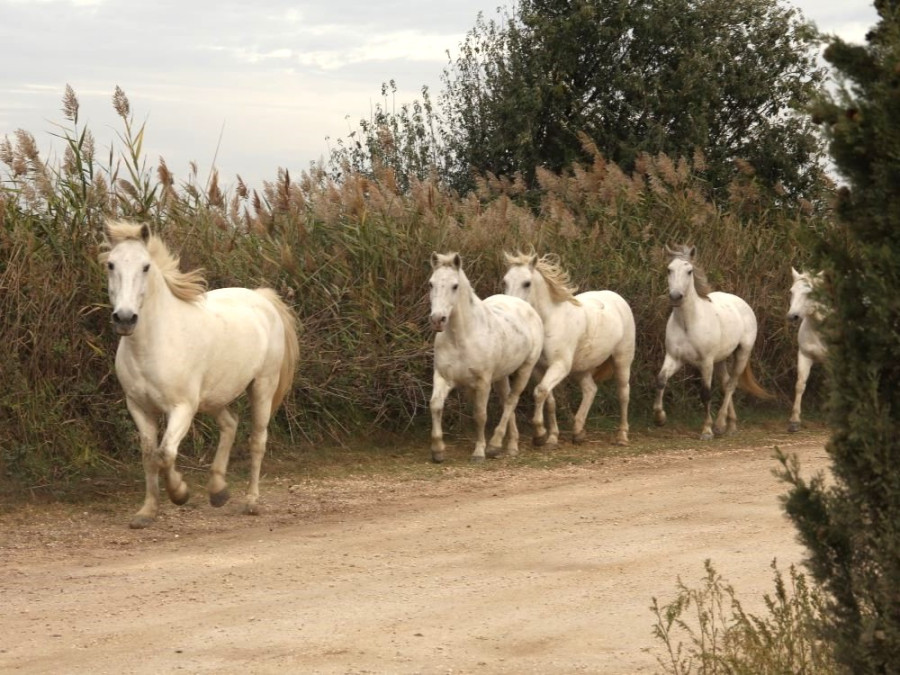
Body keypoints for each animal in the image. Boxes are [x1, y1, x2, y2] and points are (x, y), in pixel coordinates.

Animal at [101, 220, 300, 529]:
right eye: (111, 264)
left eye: (145, 266)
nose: (124, 318)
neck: (154, 343)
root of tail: (262, 298)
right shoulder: (139, 407)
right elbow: (149, 456)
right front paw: (146, 512)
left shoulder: (182, 408)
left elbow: (165, 454)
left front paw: (180, 493)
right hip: (213, 397)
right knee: (230, 424)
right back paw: (218, 491)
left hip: (262, 387)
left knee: (257, 440)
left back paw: (251, 502)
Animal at [428, 252, 544, 463]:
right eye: (431, 284)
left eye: (455, 286)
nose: (437, 320)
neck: (462, 337)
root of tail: (523, 305)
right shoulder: (442, 377)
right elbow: (436, 406)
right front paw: (438, 450)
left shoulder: (482, 382)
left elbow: (480, 415)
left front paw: (479, 452)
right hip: (501, 376)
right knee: (506, 399)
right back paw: (511, 445)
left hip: (525, 369)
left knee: (511, 401)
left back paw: (495, 445)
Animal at [502, 252, 635, 447]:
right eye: (505, 281)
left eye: (527, 283)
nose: (511, 306)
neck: (549, 321)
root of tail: (618, 299)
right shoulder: (539, 369)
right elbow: (549, 399)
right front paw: (551, 437)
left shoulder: (560, 366)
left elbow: (540, 392)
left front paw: (539, 433)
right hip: (582, 368)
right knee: (590, 390)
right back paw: (578, 432)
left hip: (622, 360)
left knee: (623, 392)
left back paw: (622, 436)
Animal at [653, 244, 770, 440]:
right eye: (669, 269)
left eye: (689, 271)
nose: (676, 297)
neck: (688, 323)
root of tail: (743, 304)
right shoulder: (674, 358)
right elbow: (661, 380)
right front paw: (660, 418)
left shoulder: (706, 362)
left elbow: (706, 393)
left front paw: (707, 430)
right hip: (721, 359)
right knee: (725, 383)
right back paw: (730, 425)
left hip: (742, 353)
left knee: (731, 385)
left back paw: (720, 424)